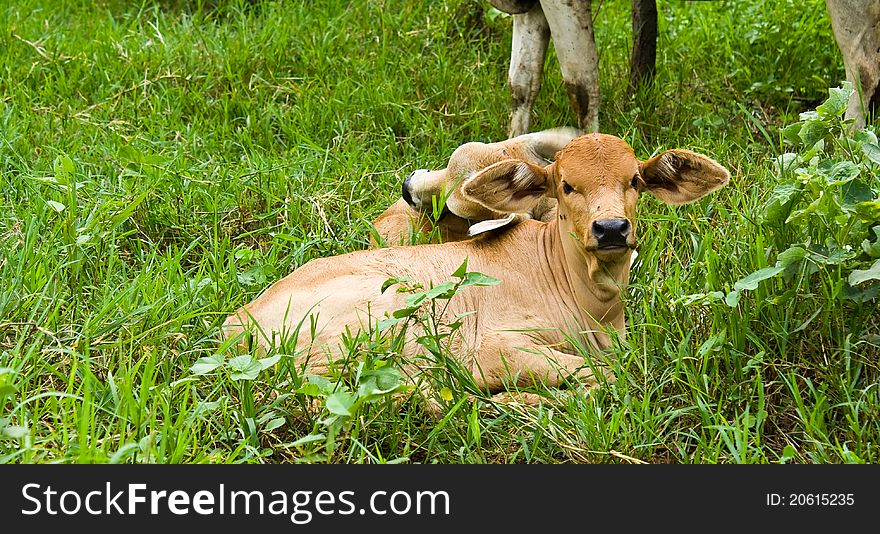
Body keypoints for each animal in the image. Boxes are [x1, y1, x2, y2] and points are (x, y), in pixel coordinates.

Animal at [222, 134, 728, 402]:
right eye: (566, 185)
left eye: (635, 181)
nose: (610, 229)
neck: (592, 304)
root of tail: (235, 323)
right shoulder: (497, 345)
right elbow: (601, 376)